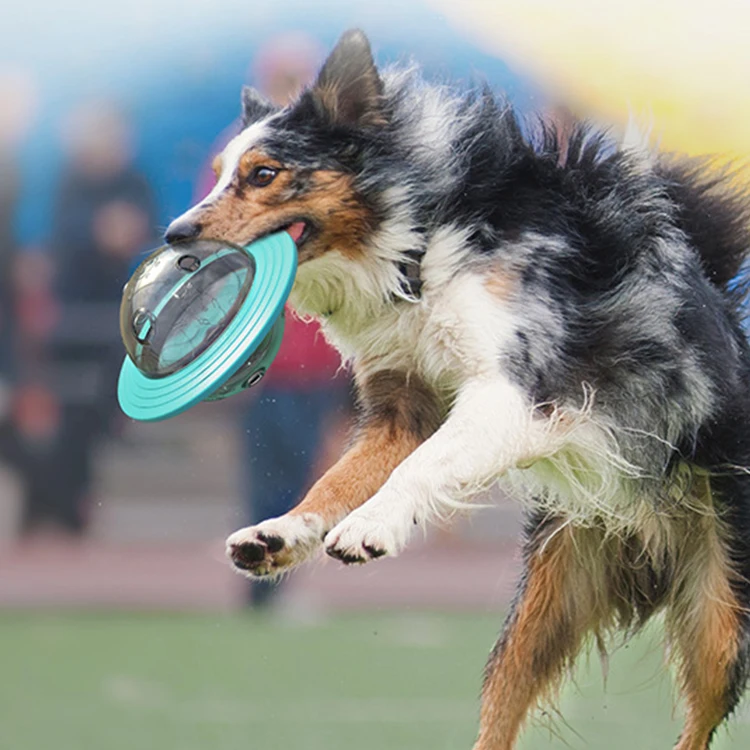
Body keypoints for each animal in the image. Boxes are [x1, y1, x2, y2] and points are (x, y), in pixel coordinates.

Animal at [167, 27, 750, 748]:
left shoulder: (512, 392)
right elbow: (339, 478)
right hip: (546, 600)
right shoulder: (403, 405)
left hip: (720, 616)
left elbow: (418, 469)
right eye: (221, 170)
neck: (420, 240)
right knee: (503, 702)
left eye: (264, 174)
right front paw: (280, 534)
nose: (175, 234)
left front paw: (370, 528)